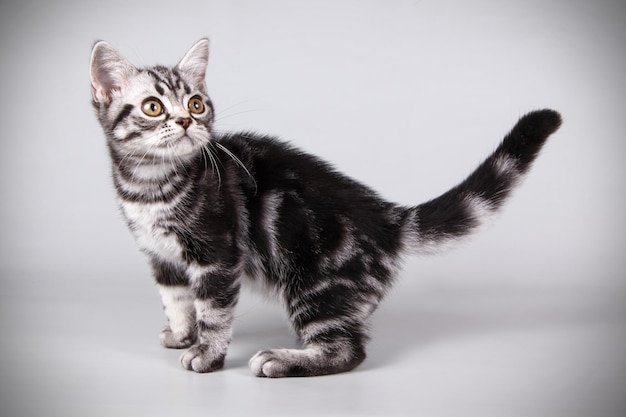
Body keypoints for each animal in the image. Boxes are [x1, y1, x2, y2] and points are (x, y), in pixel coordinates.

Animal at [88, 39, 560, 376]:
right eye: (153, 107)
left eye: (196, 104)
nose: (186, 121)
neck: (151, 185)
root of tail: (386, 216)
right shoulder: (160, 257)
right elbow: (176, 299)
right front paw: (183, 335)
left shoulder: (216, 255)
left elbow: (214, 311)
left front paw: (207, 353)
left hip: (316, 285)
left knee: (349, 351)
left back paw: (284, 359)